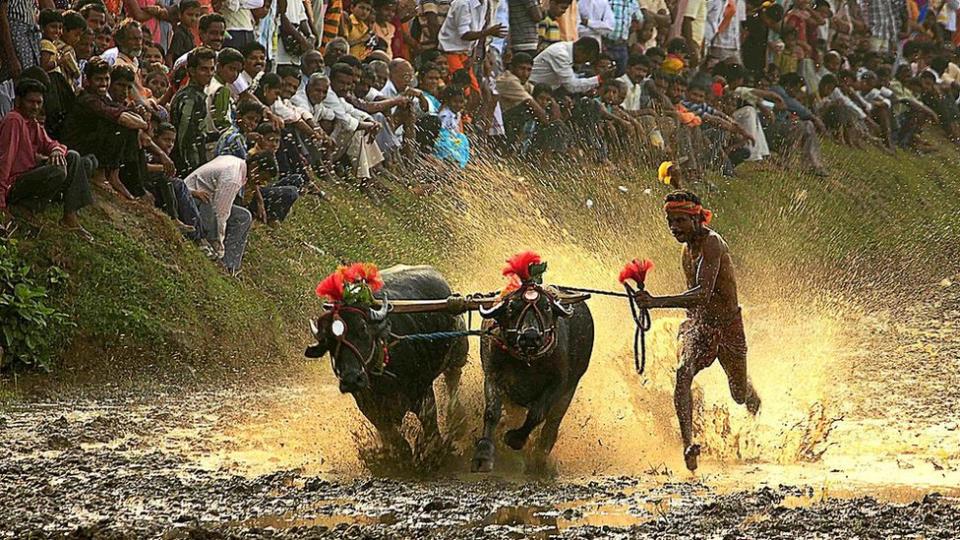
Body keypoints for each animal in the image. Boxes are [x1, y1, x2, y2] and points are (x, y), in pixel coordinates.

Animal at [308, 264, 468, 458]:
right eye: (328, 341)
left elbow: (430, 427)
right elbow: (394, 438)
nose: (351, 380)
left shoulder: (423, 393)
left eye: (363, 328)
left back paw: (456, 416)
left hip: (459, 351)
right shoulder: (370, 408)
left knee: (453, 378)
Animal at [466, 253, 592, 472]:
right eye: (511, 307)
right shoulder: (493, 374)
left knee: (552, 424)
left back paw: (541, 457)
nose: (530, 336)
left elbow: (537, 413)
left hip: (569, 390)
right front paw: (483, 454)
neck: (527, 362)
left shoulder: (560, 383)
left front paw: (515, 439)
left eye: (546, 307)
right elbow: (492, 411)